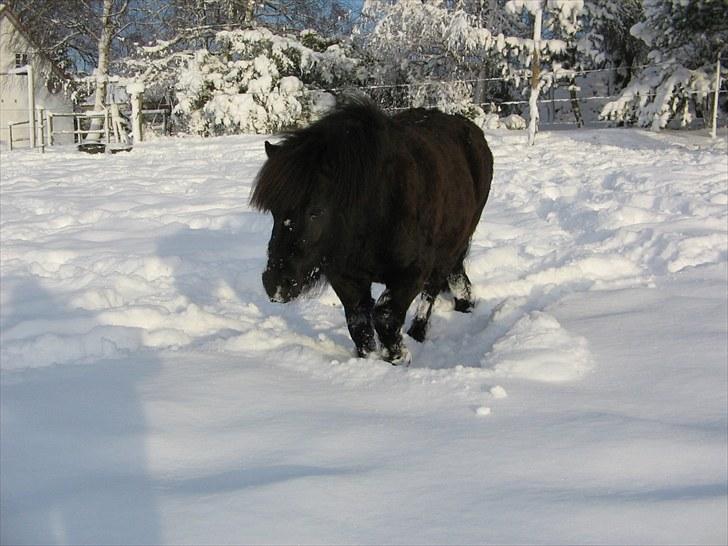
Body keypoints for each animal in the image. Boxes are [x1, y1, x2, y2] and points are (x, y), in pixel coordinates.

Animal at [252, 95, 494, 364]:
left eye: (316, 211)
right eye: (273, 211)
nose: (275, 284)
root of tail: (473, 132)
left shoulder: (411, 274)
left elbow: (385, 318)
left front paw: (398, 358)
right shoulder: (345, 278)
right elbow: (358, 323)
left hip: (449, 248)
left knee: (432, 289)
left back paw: (419, 331)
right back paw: (464, 303)